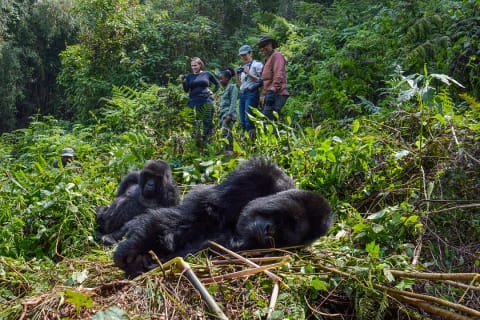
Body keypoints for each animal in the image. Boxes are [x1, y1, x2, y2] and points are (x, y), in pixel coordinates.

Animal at [113, 159, 334, 278]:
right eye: (283, 219)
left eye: (285, 234)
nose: (268, 231)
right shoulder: (255, 175)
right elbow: (192, 216)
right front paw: (134, 247)